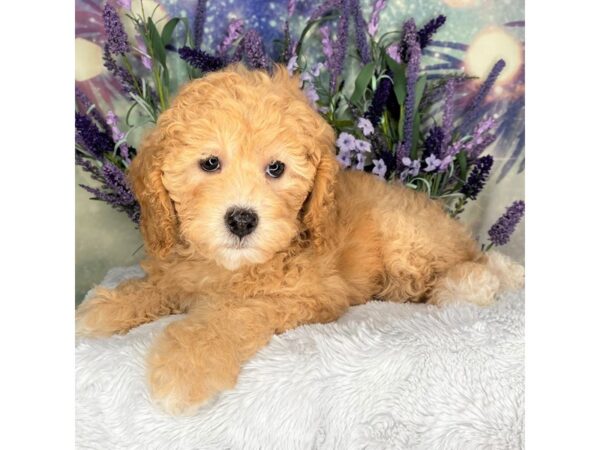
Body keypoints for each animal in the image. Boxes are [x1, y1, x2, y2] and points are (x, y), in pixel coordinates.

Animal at [76, 63, 524, 414]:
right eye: (210, 163)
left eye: (276, 169)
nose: (242, 220)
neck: (230, 266)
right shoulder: (179, 271)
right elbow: (157, 286)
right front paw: (107, 308)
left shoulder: (310, 294)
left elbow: (232, 315)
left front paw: (188, 366)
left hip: (409, 242)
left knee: (467, 266)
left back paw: (467, 284)